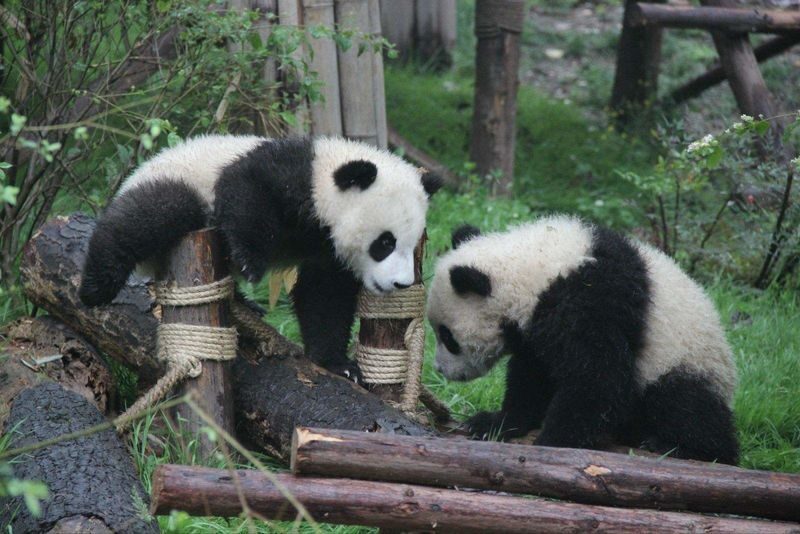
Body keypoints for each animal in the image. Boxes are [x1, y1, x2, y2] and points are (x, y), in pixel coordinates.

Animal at [79, 135, 442, 380]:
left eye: (411, 245)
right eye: (385, 243)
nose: (400, 283)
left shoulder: (326, 251)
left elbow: (325, 297)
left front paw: (338, 364)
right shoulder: (288, 174)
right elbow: (246, 193)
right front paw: (249, 263)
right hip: (180, 181)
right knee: (147, 216)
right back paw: (95, 287)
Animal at [427, 215, 739, 464]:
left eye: (448, 337)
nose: (440, 370)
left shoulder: (592, 302)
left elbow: (598, 379)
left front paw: (552, 441)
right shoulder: (538, 329)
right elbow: (532, 376)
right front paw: (494, 422)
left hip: (686, 360)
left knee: (684, 403)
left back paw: (679, 445)